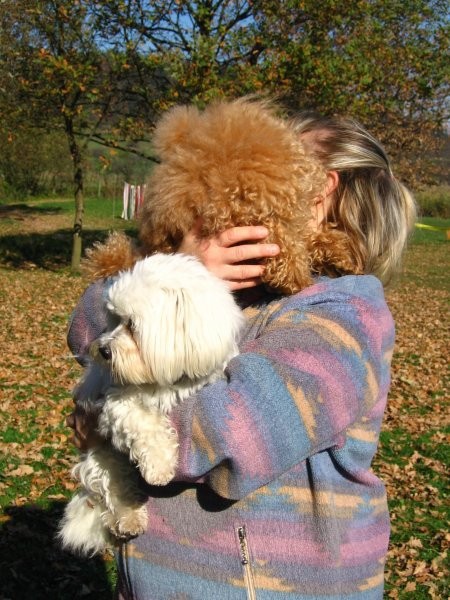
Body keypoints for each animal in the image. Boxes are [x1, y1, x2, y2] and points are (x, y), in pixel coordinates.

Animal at [59, 252, 244, 552]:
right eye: (114, 320)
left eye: (132, 325)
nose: (103, 350)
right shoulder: (116, 402)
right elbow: (145, 425)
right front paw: (159, 467)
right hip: (105, 458)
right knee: (114, 489)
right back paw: (128, 518)